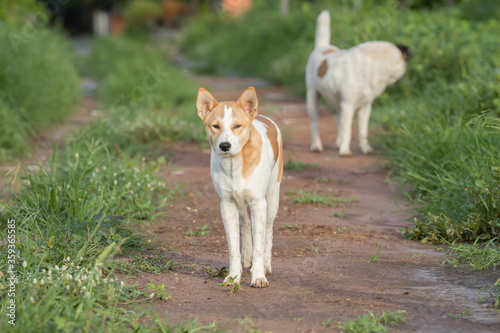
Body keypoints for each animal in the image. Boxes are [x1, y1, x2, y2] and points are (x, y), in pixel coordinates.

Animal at [195, 87, 284, 286]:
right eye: (216, 126)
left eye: (237, 126)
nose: (224, 145)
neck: (234, 164)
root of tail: (262, 117)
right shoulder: (227, 205)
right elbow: (233, 247)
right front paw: (233, 276)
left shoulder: (259, 203)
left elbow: (259, 243)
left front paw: (258, 276)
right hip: (240, 204)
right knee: (246, 223)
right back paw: (247, 258)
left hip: (272, 199)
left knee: (268, 230)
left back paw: (266, 265)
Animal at [304, 10, 410, 156]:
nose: (404, 78)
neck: (374, 66)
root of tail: (323, 47)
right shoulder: (348, 106)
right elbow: (348, 130)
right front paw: (345, 150)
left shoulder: (365, 108)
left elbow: (363, 131)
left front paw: (365, 148)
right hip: (313, 99)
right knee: (315, 123)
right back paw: (317, 146)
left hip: (339, 104)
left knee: (339, 122)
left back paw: (338, 143)